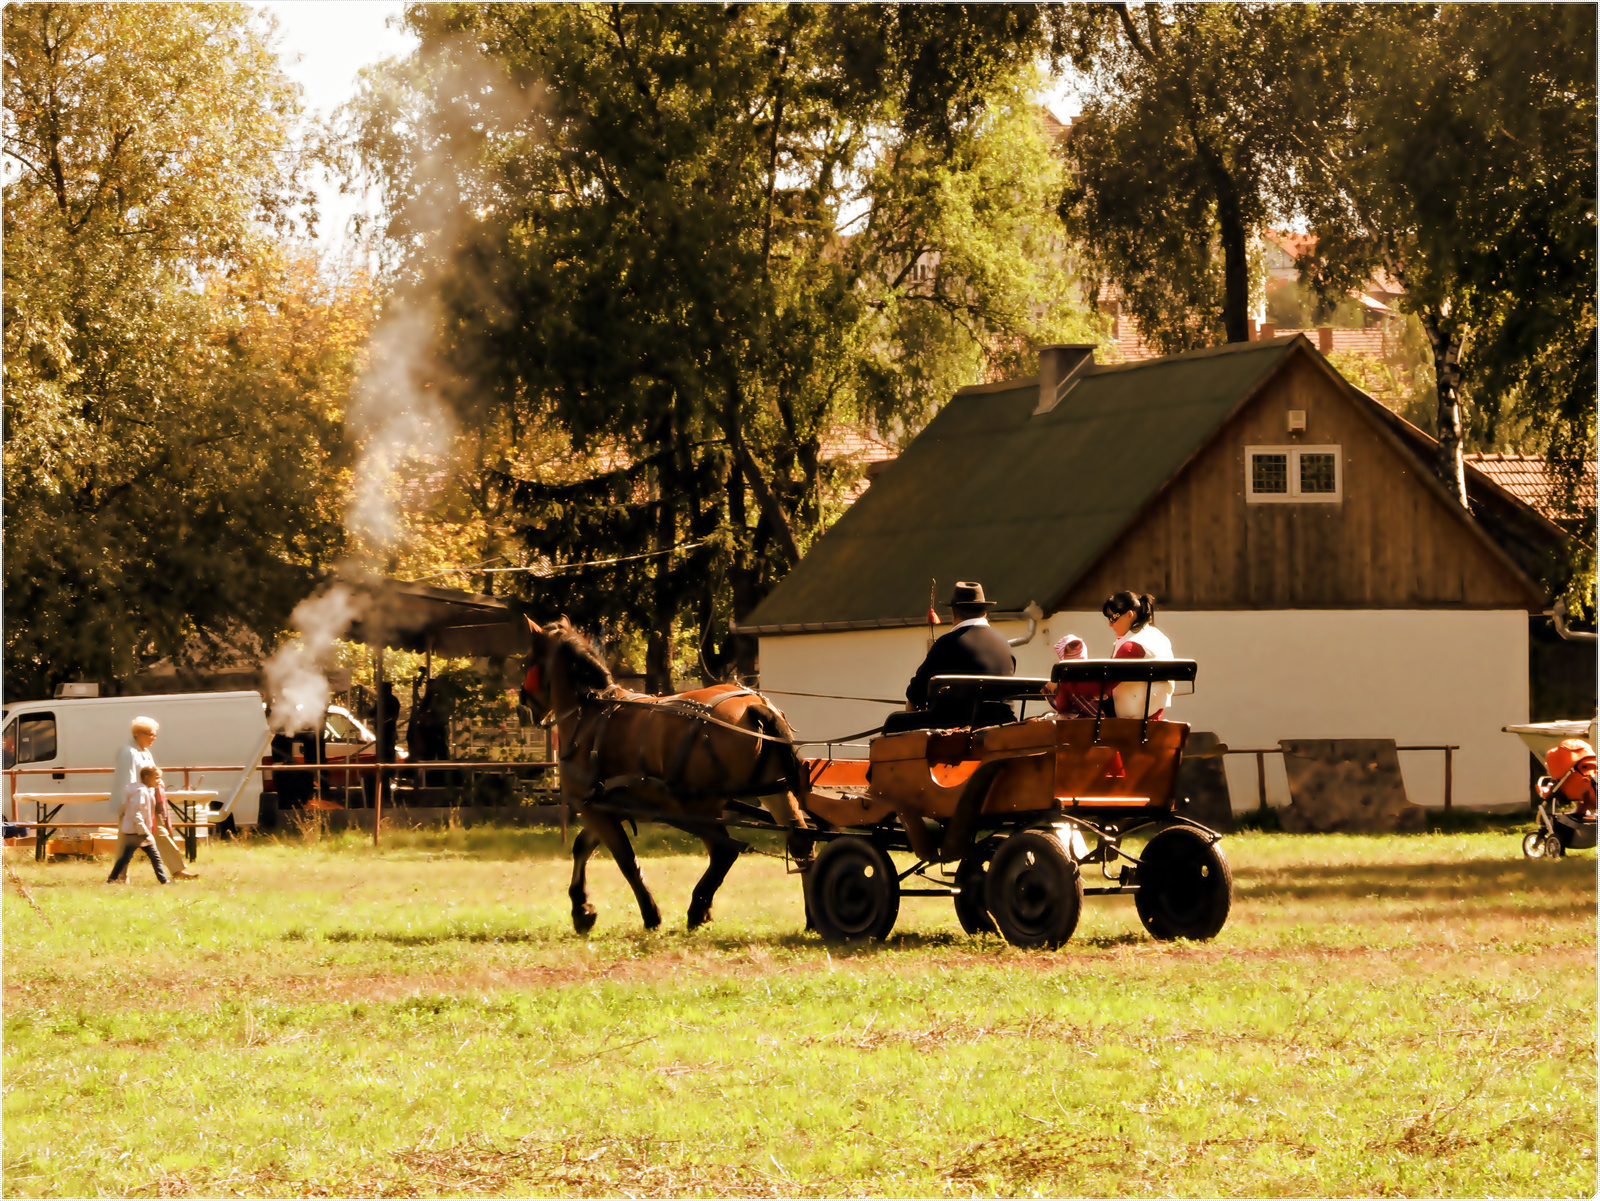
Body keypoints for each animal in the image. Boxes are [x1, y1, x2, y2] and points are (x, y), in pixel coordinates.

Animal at [521, 614, 812, 933]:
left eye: (528, 659)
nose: (523, 700)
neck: (588, 713)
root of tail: (755, 706)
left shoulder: (593, 808)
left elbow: (625, 860)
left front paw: (648, 914)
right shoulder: (607, 806)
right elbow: (582, 847)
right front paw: (582, 909)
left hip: (700, 807)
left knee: (724, 852)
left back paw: (698, 908)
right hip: (774, 792)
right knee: (801, 843)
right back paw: (812, 918)